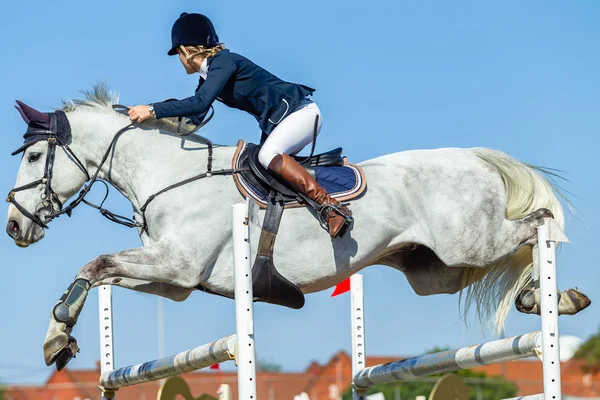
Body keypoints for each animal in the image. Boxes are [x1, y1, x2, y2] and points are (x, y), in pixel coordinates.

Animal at [4, 83, 592, 368]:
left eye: (33, 156)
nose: (13, 227)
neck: (171, 175)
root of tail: (473, 158)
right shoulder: (174, 279)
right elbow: (102, 270)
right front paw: (58, 339)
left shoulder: (177, 262)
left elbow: (95, 262)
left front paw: (58, 333)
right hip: (437, 271)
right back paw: (540, 297)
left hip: (470, 242)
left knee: (537, 228)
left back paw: (556, 294)